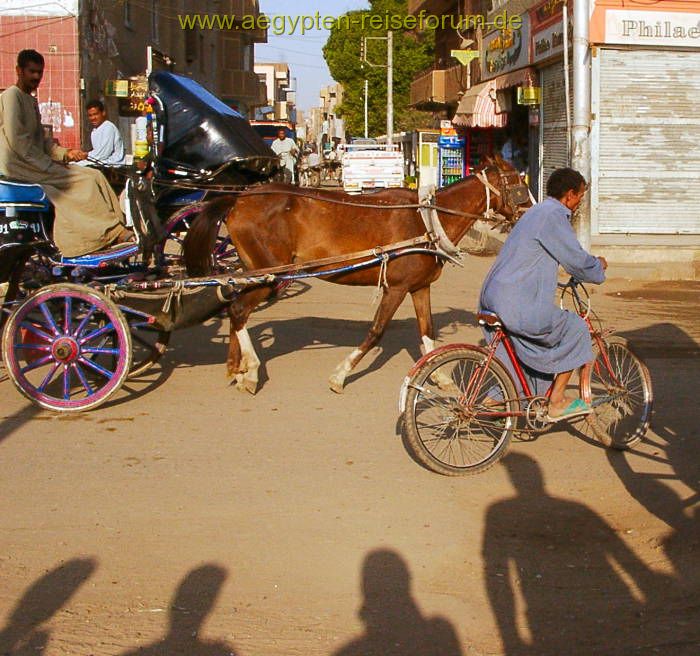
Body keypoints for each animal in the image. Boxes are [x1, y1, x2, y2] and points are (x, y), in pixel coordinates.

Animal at [183, 158, 528, 394]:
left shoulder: (419, 287)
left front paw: (439, 376)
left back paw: (235, 367)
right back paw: (252, 370)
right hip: (272, 276)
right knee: (239, 309)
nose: (532, 212)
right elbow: (376, 330)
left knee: (233, 305)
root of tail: (239, 199)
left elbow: (427, 332)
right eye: (519, 186)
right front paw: (340, 375)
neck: (427, 220)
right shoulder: (396, 288)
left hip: (255, 273)